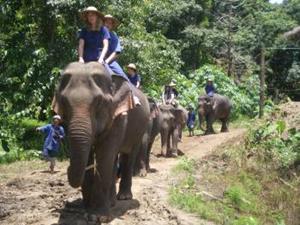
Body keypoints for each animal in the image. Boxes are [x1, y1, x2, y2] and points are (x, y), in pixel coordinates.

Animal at [53, 61, 150, 221]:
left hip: (140, 129)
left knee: (128, 156)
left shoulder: (119, 115)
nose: (67, 168)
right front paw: (86, 208)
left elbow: (105, 156)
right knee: (114, 159)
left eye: (98, 102)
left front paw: (97, 217)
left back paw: (123, 197)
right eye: (64, 102)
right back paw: (111, 202)